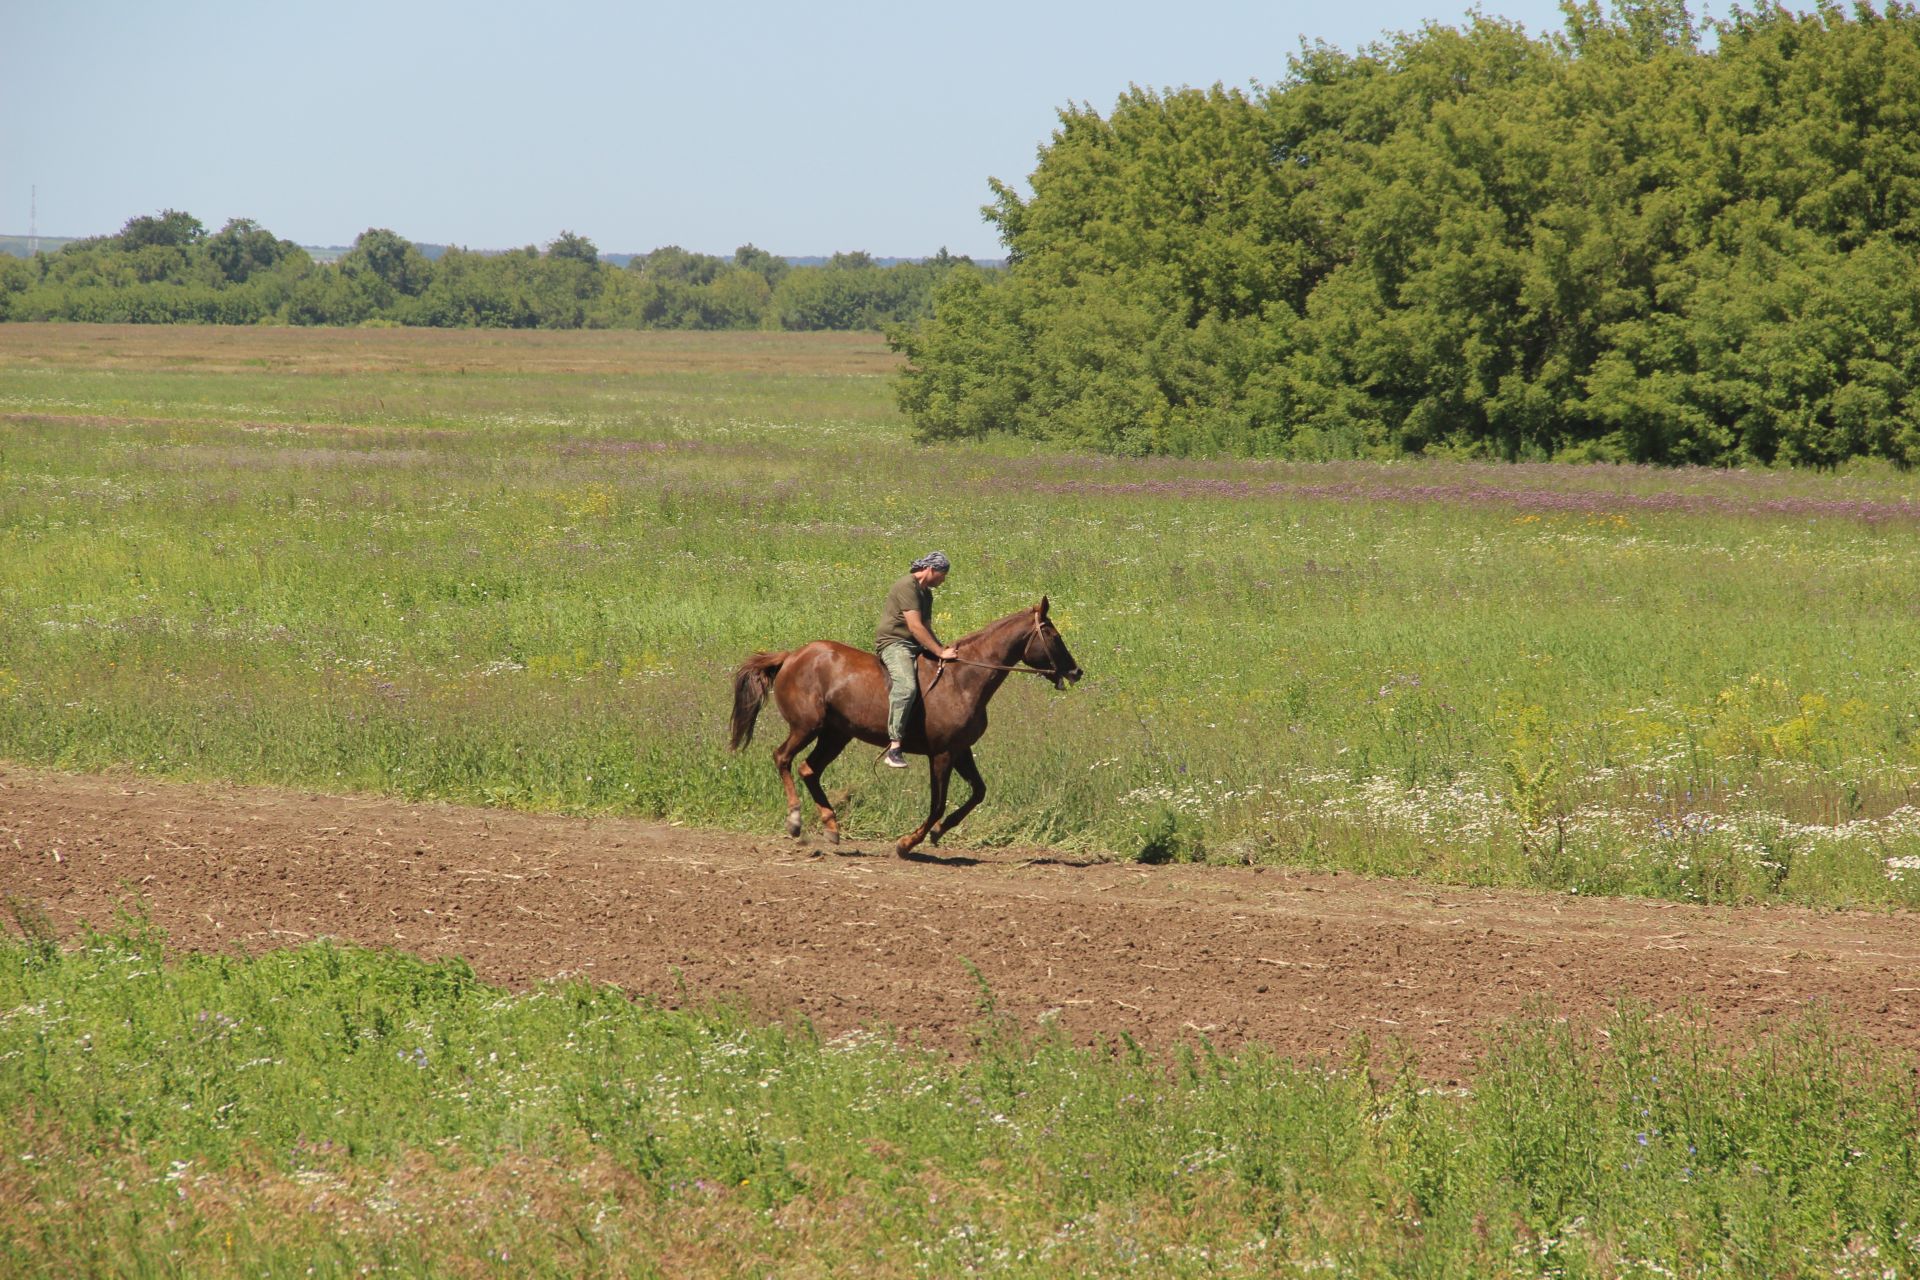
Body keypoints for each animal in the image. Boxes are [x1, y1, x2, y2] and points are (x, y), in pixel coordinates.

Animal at [725, 594, 1082, 855]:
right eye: (1053, 634)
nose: (1076, 671)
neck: (963, 679)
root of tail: (791, 656)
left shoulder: (960, 749)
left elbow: (978, 792)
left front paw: (939, 832)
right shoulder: (942, 754)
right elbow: (937, 804)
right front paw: (907, 843)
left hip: (836, 734)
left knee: (808, 769)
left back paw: (832, 827)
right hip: (806, 727)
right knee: (783, 758)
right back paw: (796, 821)